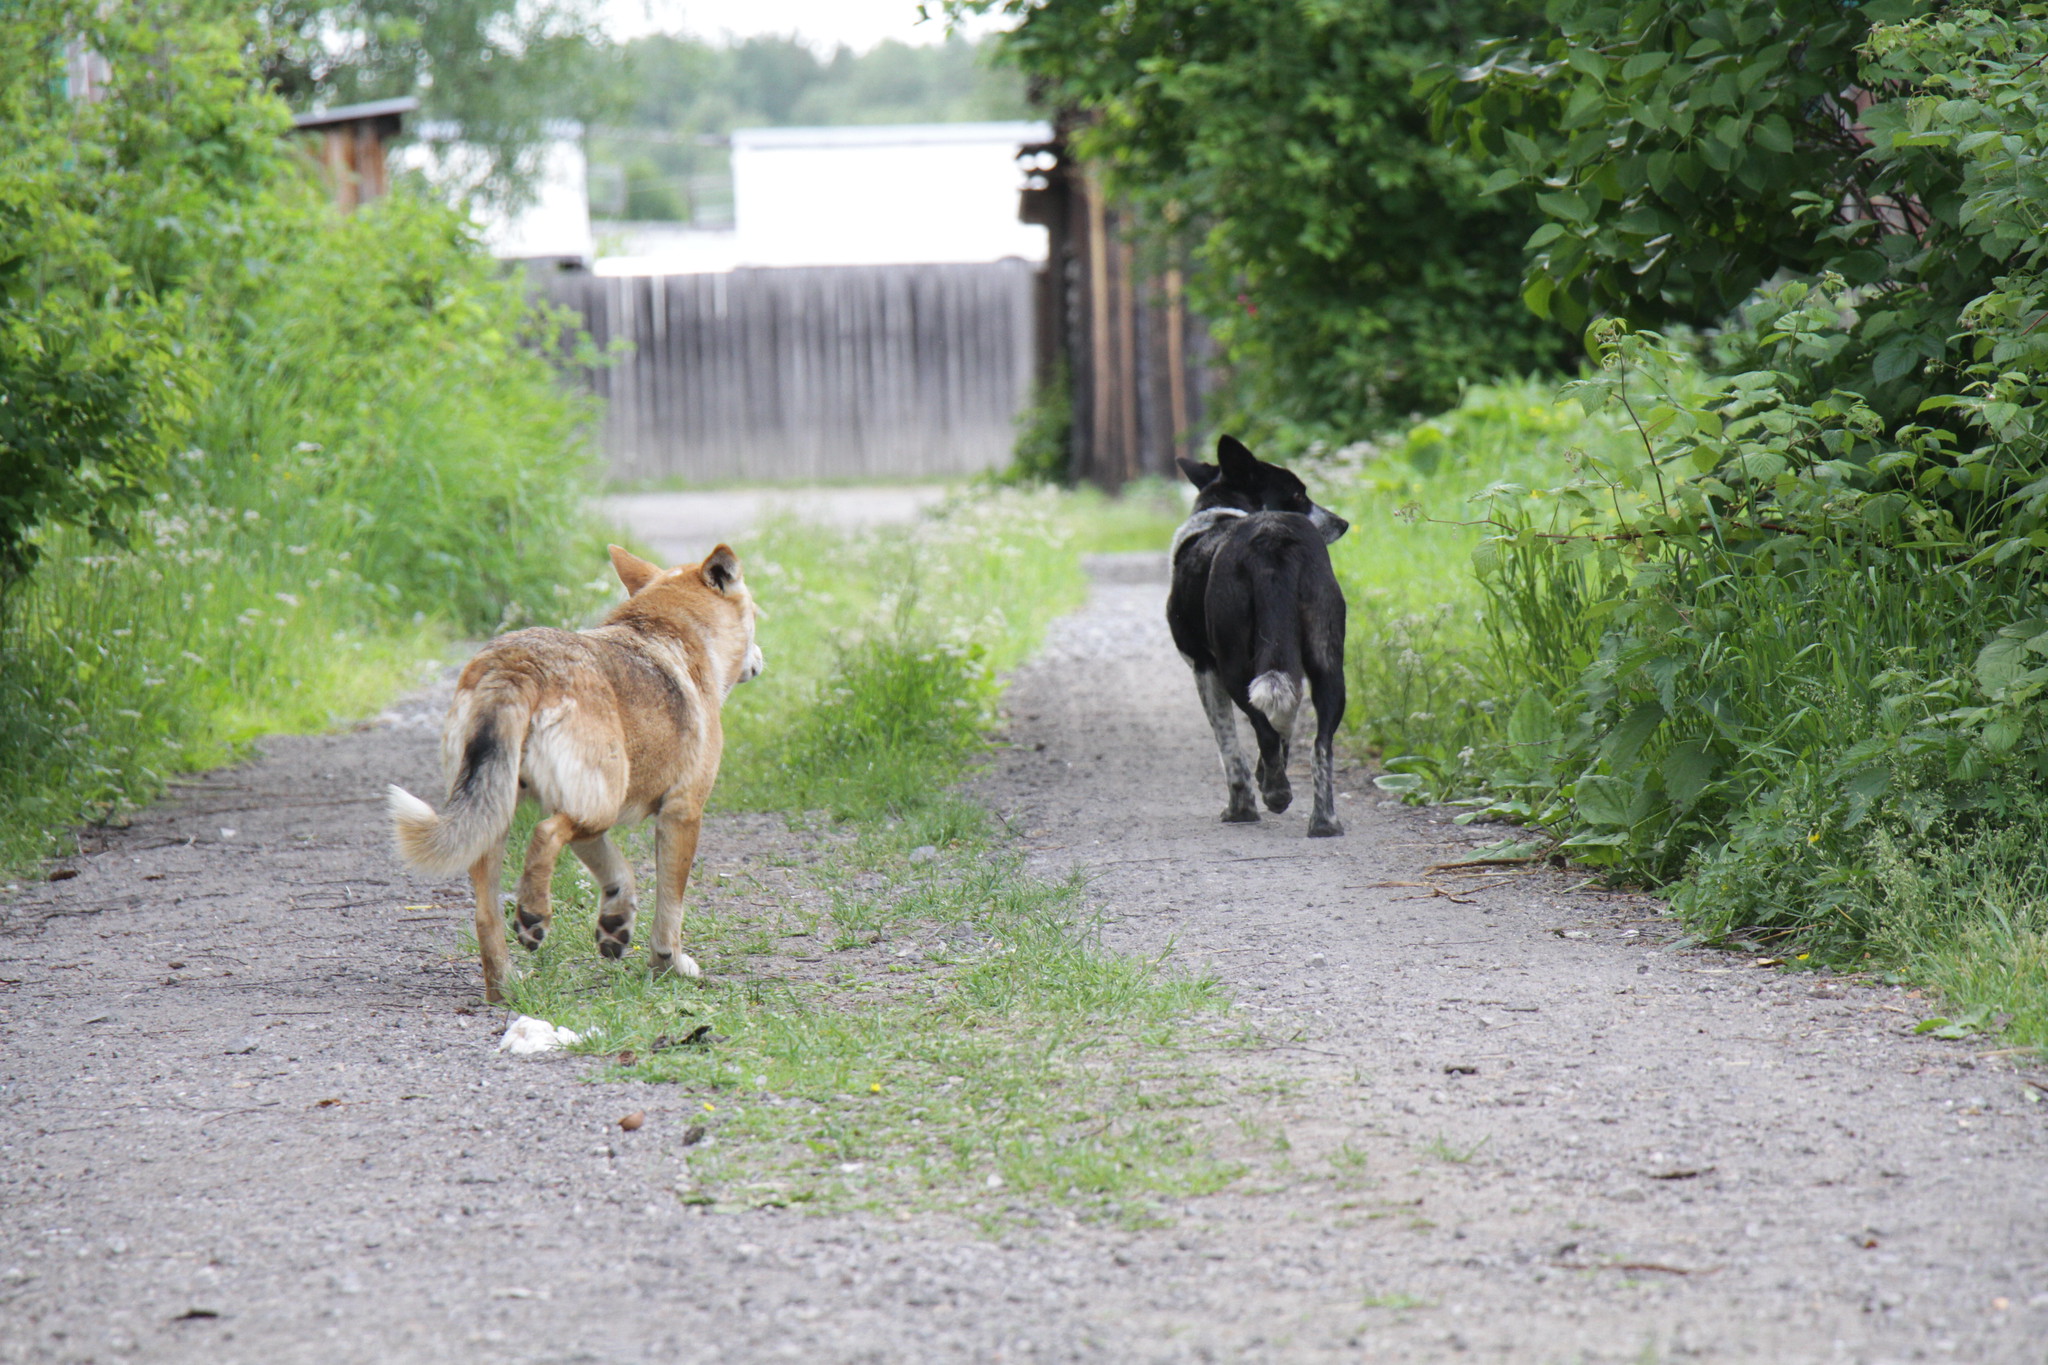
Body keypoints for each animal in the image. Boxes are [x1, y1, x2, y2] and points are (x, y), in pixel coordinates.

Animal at [387, 544, 765, 1002]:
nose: (760, 660)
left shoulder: (587, 806)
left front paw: (616, 924)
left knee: (485, 912)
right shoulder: (681, 812)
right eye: (756, 615)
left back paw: (506, 987)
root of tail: (516, 667)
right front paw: (670, 965)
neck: (672, 634)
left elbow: (619, 872)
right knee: (544, 835)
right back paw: (533, 914)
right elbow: (670, 908)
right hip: (595, 805)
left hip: (507, 812)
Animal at [1171, 437, 1343, 839]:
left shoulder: (1204, 669)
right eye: (1298, 494)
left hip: (1235, 665)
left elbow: (1230, 746)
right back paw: (1323, 822)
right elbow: (1285, 729)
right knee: (1321, 744)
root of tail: (1272, 538)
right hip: (1327, 662)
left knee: (1260, 729)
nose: (1343, 523)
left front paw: (1244, 805)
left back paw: (1274, 796)